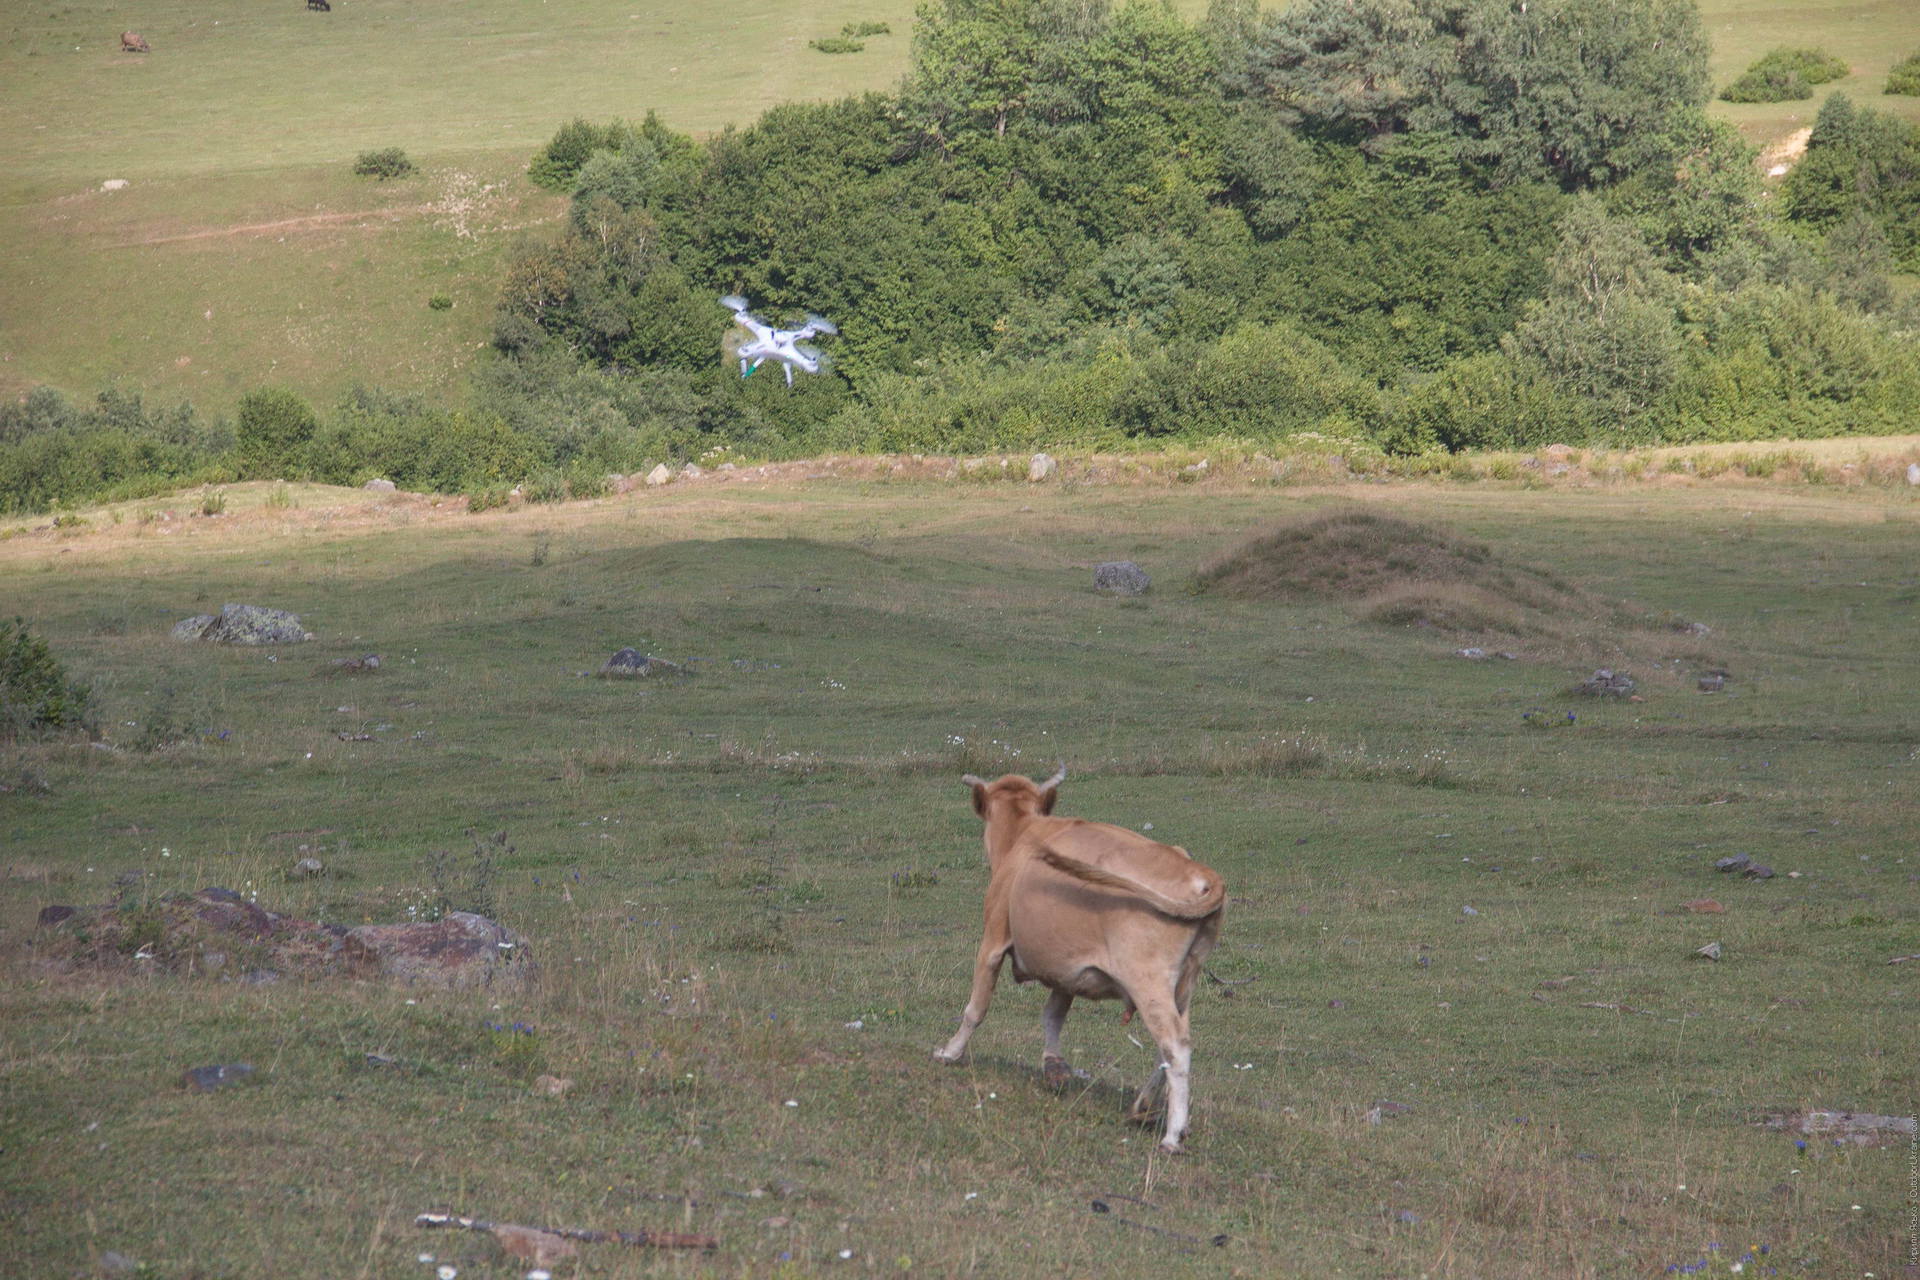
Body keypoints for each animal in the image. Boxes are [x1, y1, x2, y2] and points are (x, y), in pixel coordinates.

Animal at [933, 767, 1228, 1159]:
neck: (1023, 835)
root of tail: (1202, 875)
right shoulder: (1067, 966)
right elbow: (1053, 1014)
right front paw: (1054, 1068)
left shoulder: (993, 940)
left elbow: (975, 1008)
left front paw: (950, 1052)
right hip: (1186, 980)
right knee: (1171, 1044)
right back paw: (1143, 1108)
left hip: (1147, 978)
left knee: (1175, 1045)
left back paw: (1172, 1135)